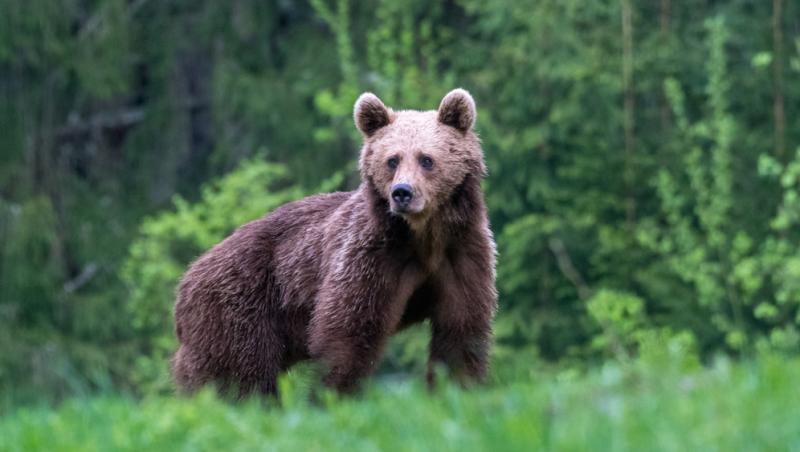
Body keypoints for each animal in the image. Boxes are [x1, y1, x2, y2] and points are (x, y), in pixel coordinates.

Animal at [172, 88, 496, 396]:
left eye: (426, 159)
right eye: (392, 160)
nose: (402, 192)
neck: (423, 236)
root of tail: (186, 281)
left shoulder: (461, 256)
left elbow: (459, 334)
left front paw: (458, 387)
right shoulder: (371, 257)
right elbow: (349, 332)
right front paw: (332, 394)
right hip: (239, 309)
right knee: (237, 377)